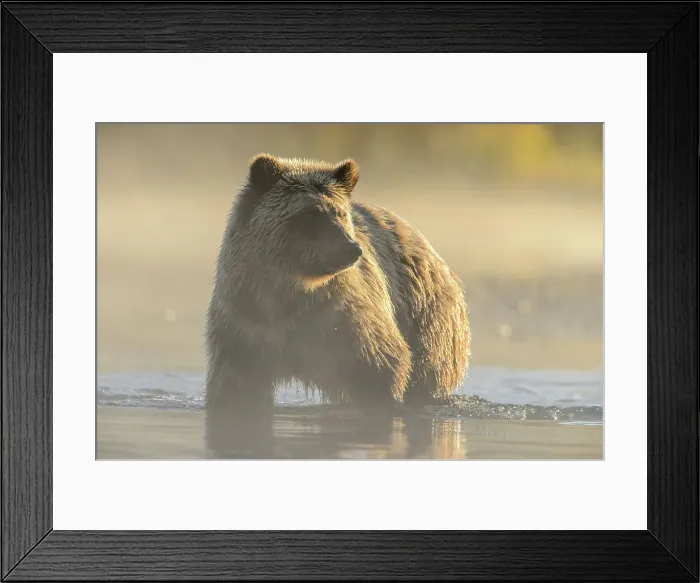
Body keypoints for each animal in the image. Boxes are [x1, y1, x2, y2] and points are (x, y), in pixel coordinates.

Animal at [203, 153, 471, 458]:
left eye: (340, 213)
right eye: (310, 213)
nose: (351, 248)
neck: (290, 292)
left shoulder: (342, 316)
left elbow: (380, 361)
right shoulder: (245, 323)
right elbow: (238, 386)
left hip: (428, 319)